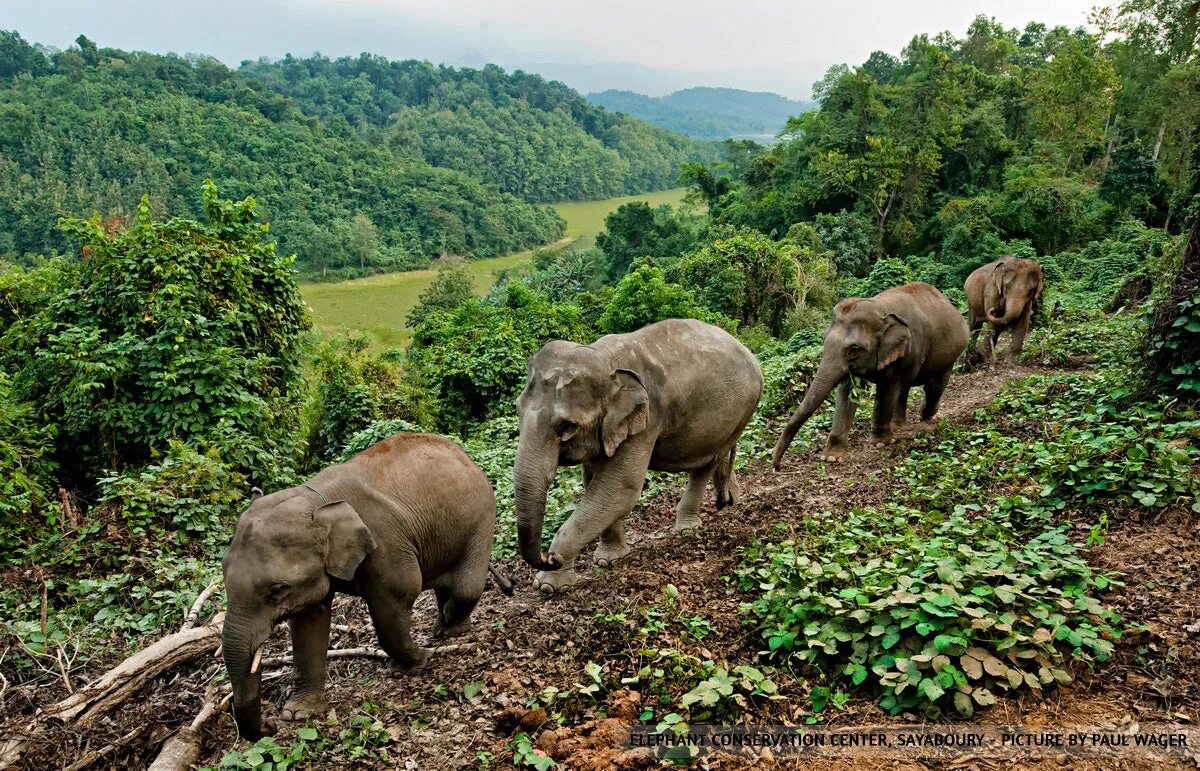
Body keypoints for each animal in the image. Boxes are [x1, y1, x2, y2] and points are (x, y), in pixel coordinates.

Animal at [223, 432, 508, 739]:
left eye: (276, 591)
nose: (269, 726)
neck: (317, 499)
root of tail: (464, 455)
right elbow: (310, 622)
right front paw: (299, 713)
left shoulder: (385, 544)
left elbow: (395, 601)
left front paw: (416, 662)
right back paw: (443, 628)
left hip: (482, 515)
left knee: (466, 585)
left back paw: (450, 632)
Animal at [513, 314, 758, 590]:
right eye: (517, 410)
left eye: (567, 427)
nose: (550, 557)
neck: (603, 357)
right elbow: (594, 483)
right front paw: (608, 559)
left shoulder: (647, 421)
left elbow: (620, 488)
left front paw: (547, 585)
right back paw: (730, 501)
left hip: (744, 409)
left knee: (708, 462)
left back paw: (689, 529)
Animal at [772, 278, 969, 465]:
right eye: (824, 340)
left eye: (854, 349)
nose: (776, 465)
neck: (882, 308)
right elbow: (847, 392)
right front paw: (832, 457)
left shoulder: (908, 348)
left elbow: (887, 389)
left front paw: (880, 443)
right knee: (905, 388)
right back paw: (898, 427)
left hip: (951, 352)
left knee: (934, 385)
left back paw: (927, 416)